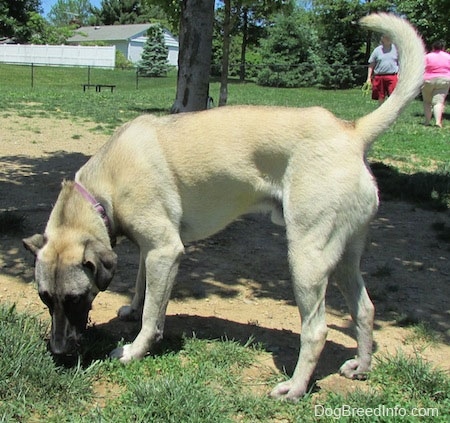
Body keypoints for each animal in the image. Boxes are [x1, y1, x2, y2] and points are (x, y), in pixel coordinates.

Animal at [23, 14, 426, 400]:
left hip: (307, 259)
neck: (103, 187)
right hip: (343, 257)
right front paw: (133, 308)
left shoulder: (165, 251)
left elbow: (153, 316)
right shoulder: (151, 250)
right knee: (365, 309)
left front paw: (136, 349)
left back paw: (295, 388)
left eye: (76, 298)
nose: (57, 351)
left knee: (316, 330)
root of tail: (351, 131)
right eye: (45, 298)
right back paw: (362, 366)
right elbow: (143, 289)